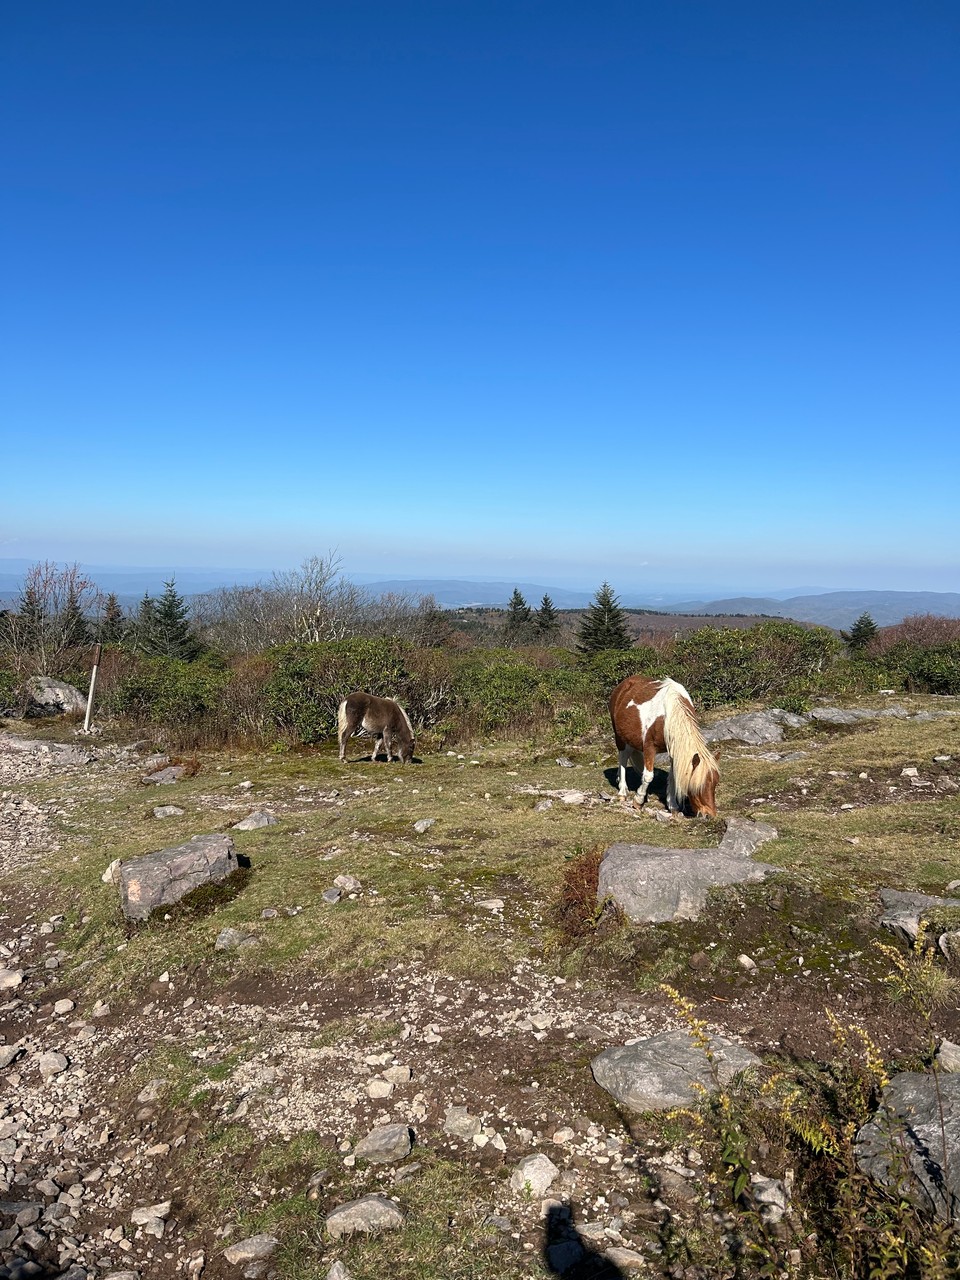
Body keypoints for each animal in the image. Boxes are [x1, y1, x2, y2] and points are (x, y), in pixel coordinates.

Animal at [609, 675, 719, 817]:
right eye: (697, 787)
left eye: (715, 784)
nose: (709, 815)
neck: (669, 716)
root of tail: (623, 684)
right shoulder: (649, 747)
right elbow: (648, 776)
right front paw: (638, 801)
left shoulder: (674, 750)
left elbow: (672, 776)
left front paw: (672, 805)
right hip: (620, 737)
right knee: (623, 758)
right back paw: (622, 791)